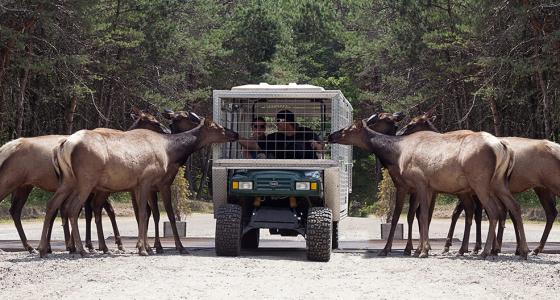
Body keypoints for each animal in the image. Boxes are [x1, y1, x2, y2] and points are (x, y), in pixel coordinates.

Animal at [0, 108, 168, 253]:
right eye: (154, 121)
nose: (166, 130)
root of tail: (7, 147)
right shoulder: (103, 189)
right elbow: (103, 212)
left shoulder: (99, 189)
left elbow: (90, 212)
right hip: (13, 180)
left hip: (25, 186)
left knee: (17, 210)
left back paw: (33, 247)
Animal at [36, 115, 238, 258]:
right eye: (218, 127)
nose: (235, 134)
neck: (169, 151)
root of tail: (63, 145)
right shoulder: (149, 181)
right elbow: (153, 214)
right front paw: (151, 248)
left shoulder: (142, 185)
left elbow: (145, 214)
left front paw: (147, 247)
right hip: (87, 180)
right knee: (72, 209)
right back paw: (81, 249)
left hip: (68, 181)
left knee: (53, 205)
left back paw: (43, 248)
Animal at [326, 115, 528, 258]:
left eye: (349, 128)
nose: (331, 135)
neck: (397, 153)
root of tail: (503, 146)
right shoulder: (428, 188)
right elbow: (421, 217)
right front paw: (421, 249)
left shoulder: (417, 184)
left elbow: (413, 217)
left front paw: (411, 250)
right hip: (498, 183)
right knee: (513, 207)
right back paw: (522, 250)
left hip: (480, 183)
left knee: (493, 211)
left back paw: (486, 251)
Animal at [398, 110, 560, 255]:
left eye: (412, 123)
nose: (399, 133)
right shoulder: (462, 191)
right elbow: (471, 215)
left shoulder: (457, 190)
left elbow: (455, 214)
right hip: (526, 186)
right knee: (531, 209)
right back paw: (528, 250)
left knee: (499, 211)